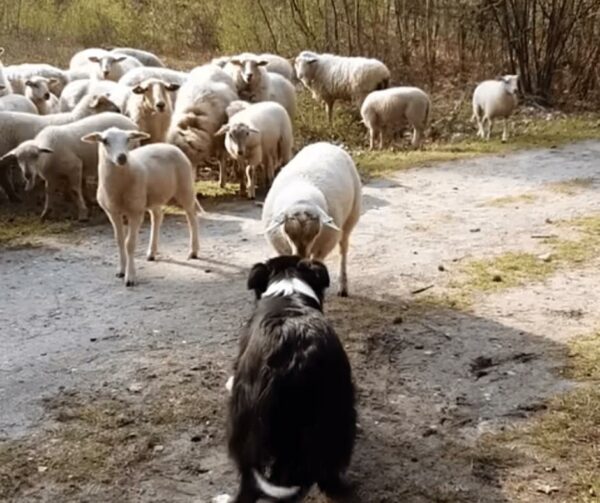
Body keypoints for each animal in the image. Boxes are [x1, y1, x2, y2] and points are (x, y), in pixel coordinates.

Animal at [0, 114, 136, 220]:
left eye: (35, 155)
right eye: (18, 159)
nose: (27, 175)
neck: (48, 156)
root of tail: (132, 123)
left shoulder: (75, 167)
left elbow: (75, 191)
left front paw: (83, 213)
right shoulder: (51, 177)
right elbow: (48, 192)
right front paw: (46, 213)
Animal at [80, 128, 202, 288]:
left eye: (128, 139)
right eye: (105, 141)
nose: (122, 157)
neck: (119, 187)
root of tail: (168, 145)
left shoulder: (135, 211)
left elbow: (130, 244)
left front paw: (130, 277)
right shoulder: (112, 212)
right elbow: (119, 240)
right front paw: (121, 270)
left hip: (185, 187)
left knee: (191, 216)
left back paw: (193, 251)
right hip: (153, 197)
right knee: (157, 216)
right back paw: (152, 252)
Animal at [262, 142, 360, 298]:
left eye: (316, 233)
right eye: (287, 232)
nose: (300, 258)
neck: (302, 197)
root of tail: (326, 143)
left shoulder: (322, 247)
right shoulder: (281, 247)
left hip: (350, 218)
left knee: (343, 249)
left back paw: (343, 286)